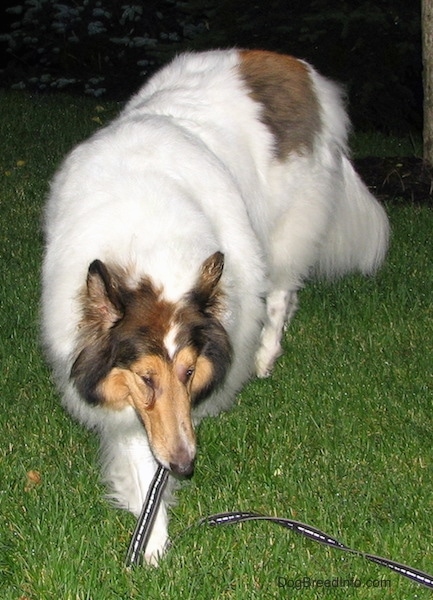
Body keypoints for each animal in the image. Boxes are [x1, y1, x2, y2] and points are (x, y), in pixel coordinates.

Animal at [41, 49, 388, 564]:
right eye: (146, 378)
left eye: (189, 371)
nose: (186, 465)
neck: (148, 249)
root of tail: (296, 66)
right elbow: (141, 460)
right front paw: (152, 540)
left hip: (288, 231)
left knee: (282, 291)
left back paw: (265, 354)